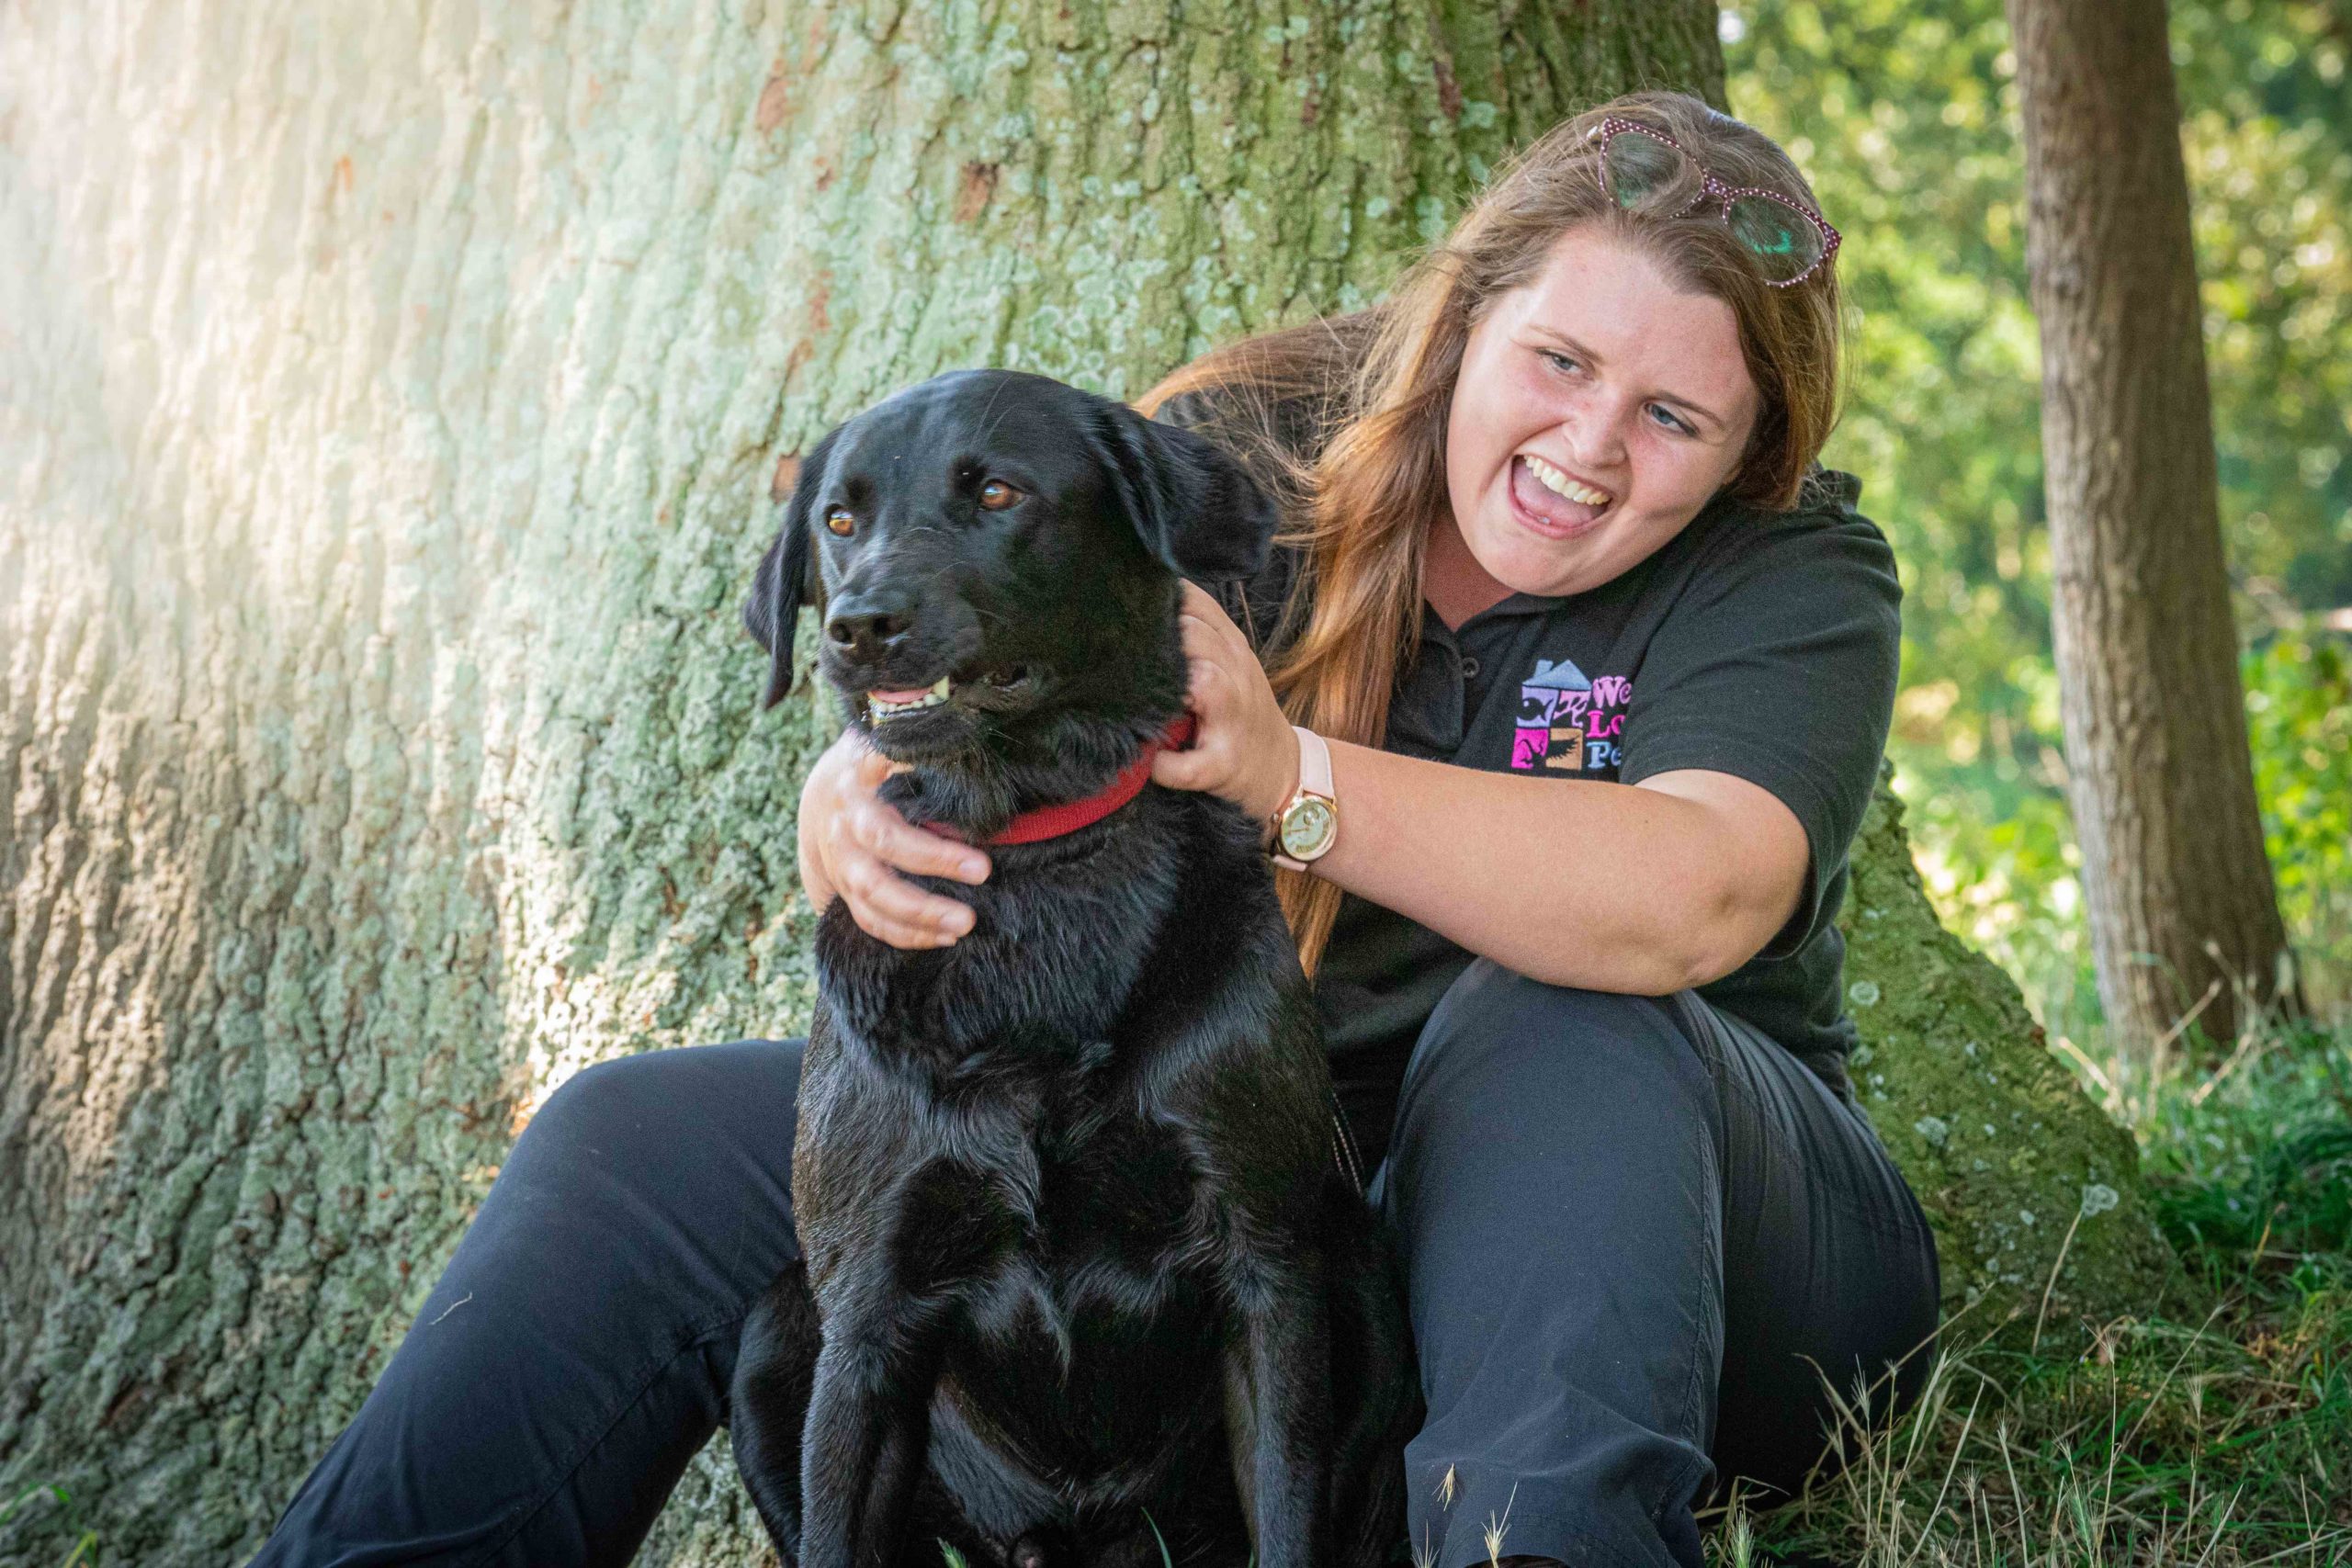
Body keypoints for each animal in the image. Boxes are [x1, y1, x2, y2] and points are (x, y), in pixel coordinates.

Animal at [729, 376, 1411, 1568]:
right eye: (840, 521)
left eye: (997, 491)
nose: (859, 626)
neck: (1031, 858)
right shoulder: (864, 1320)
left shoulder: (1265, 1268)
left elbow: (1287, 1506)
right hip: (776, 1332)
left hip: (1355, 1266)